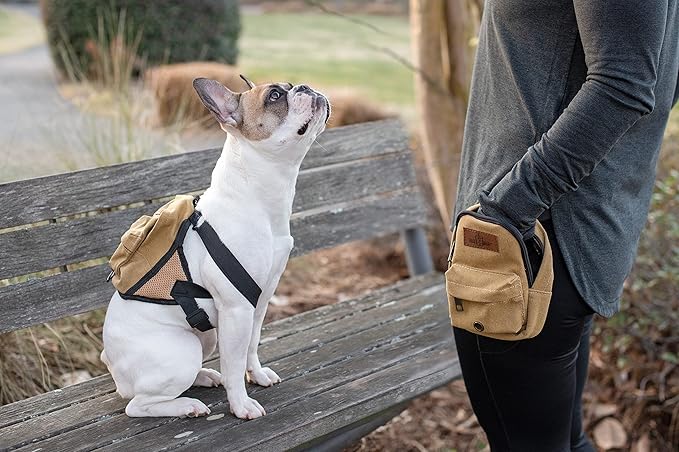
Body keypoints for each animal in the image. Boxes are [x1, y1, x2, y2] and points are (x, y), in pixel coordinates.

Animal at [101, 78, 332, 420]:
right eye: (275, 96)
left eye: (290, 86)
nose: (305, 86)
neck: (258, 197)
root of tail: (111, 363)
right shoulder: (236, 309)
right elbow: (234, 364)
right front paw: (240, 404)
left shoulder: (258, 303)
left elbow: (252, 345)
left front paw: (257, 375)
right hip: (181, 352)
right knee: (138, 404)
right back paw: (187, 405)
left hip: (206, 337)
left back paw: (205, 377)